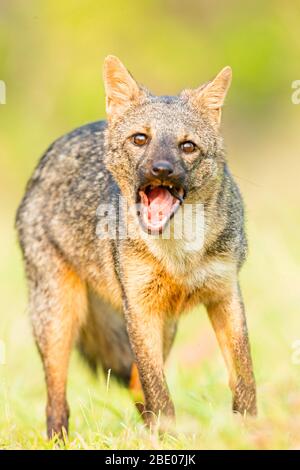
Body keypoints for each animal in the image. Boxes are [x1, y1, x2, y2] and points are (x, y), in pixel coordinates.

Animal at [15, 56, 255, 440]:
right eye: (140, 139)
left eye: (187, 146)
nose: (162, 169)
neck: (179, 253)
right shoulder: (140, 310)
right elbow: (159, 391)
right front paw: (171, 439)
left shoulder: (226, 294)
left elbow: (245, 378)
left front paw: (249, 429)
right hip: (59, 319)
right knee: (57, 403)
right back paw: (60, 441)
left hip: (166, 327)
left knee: (132, 383)